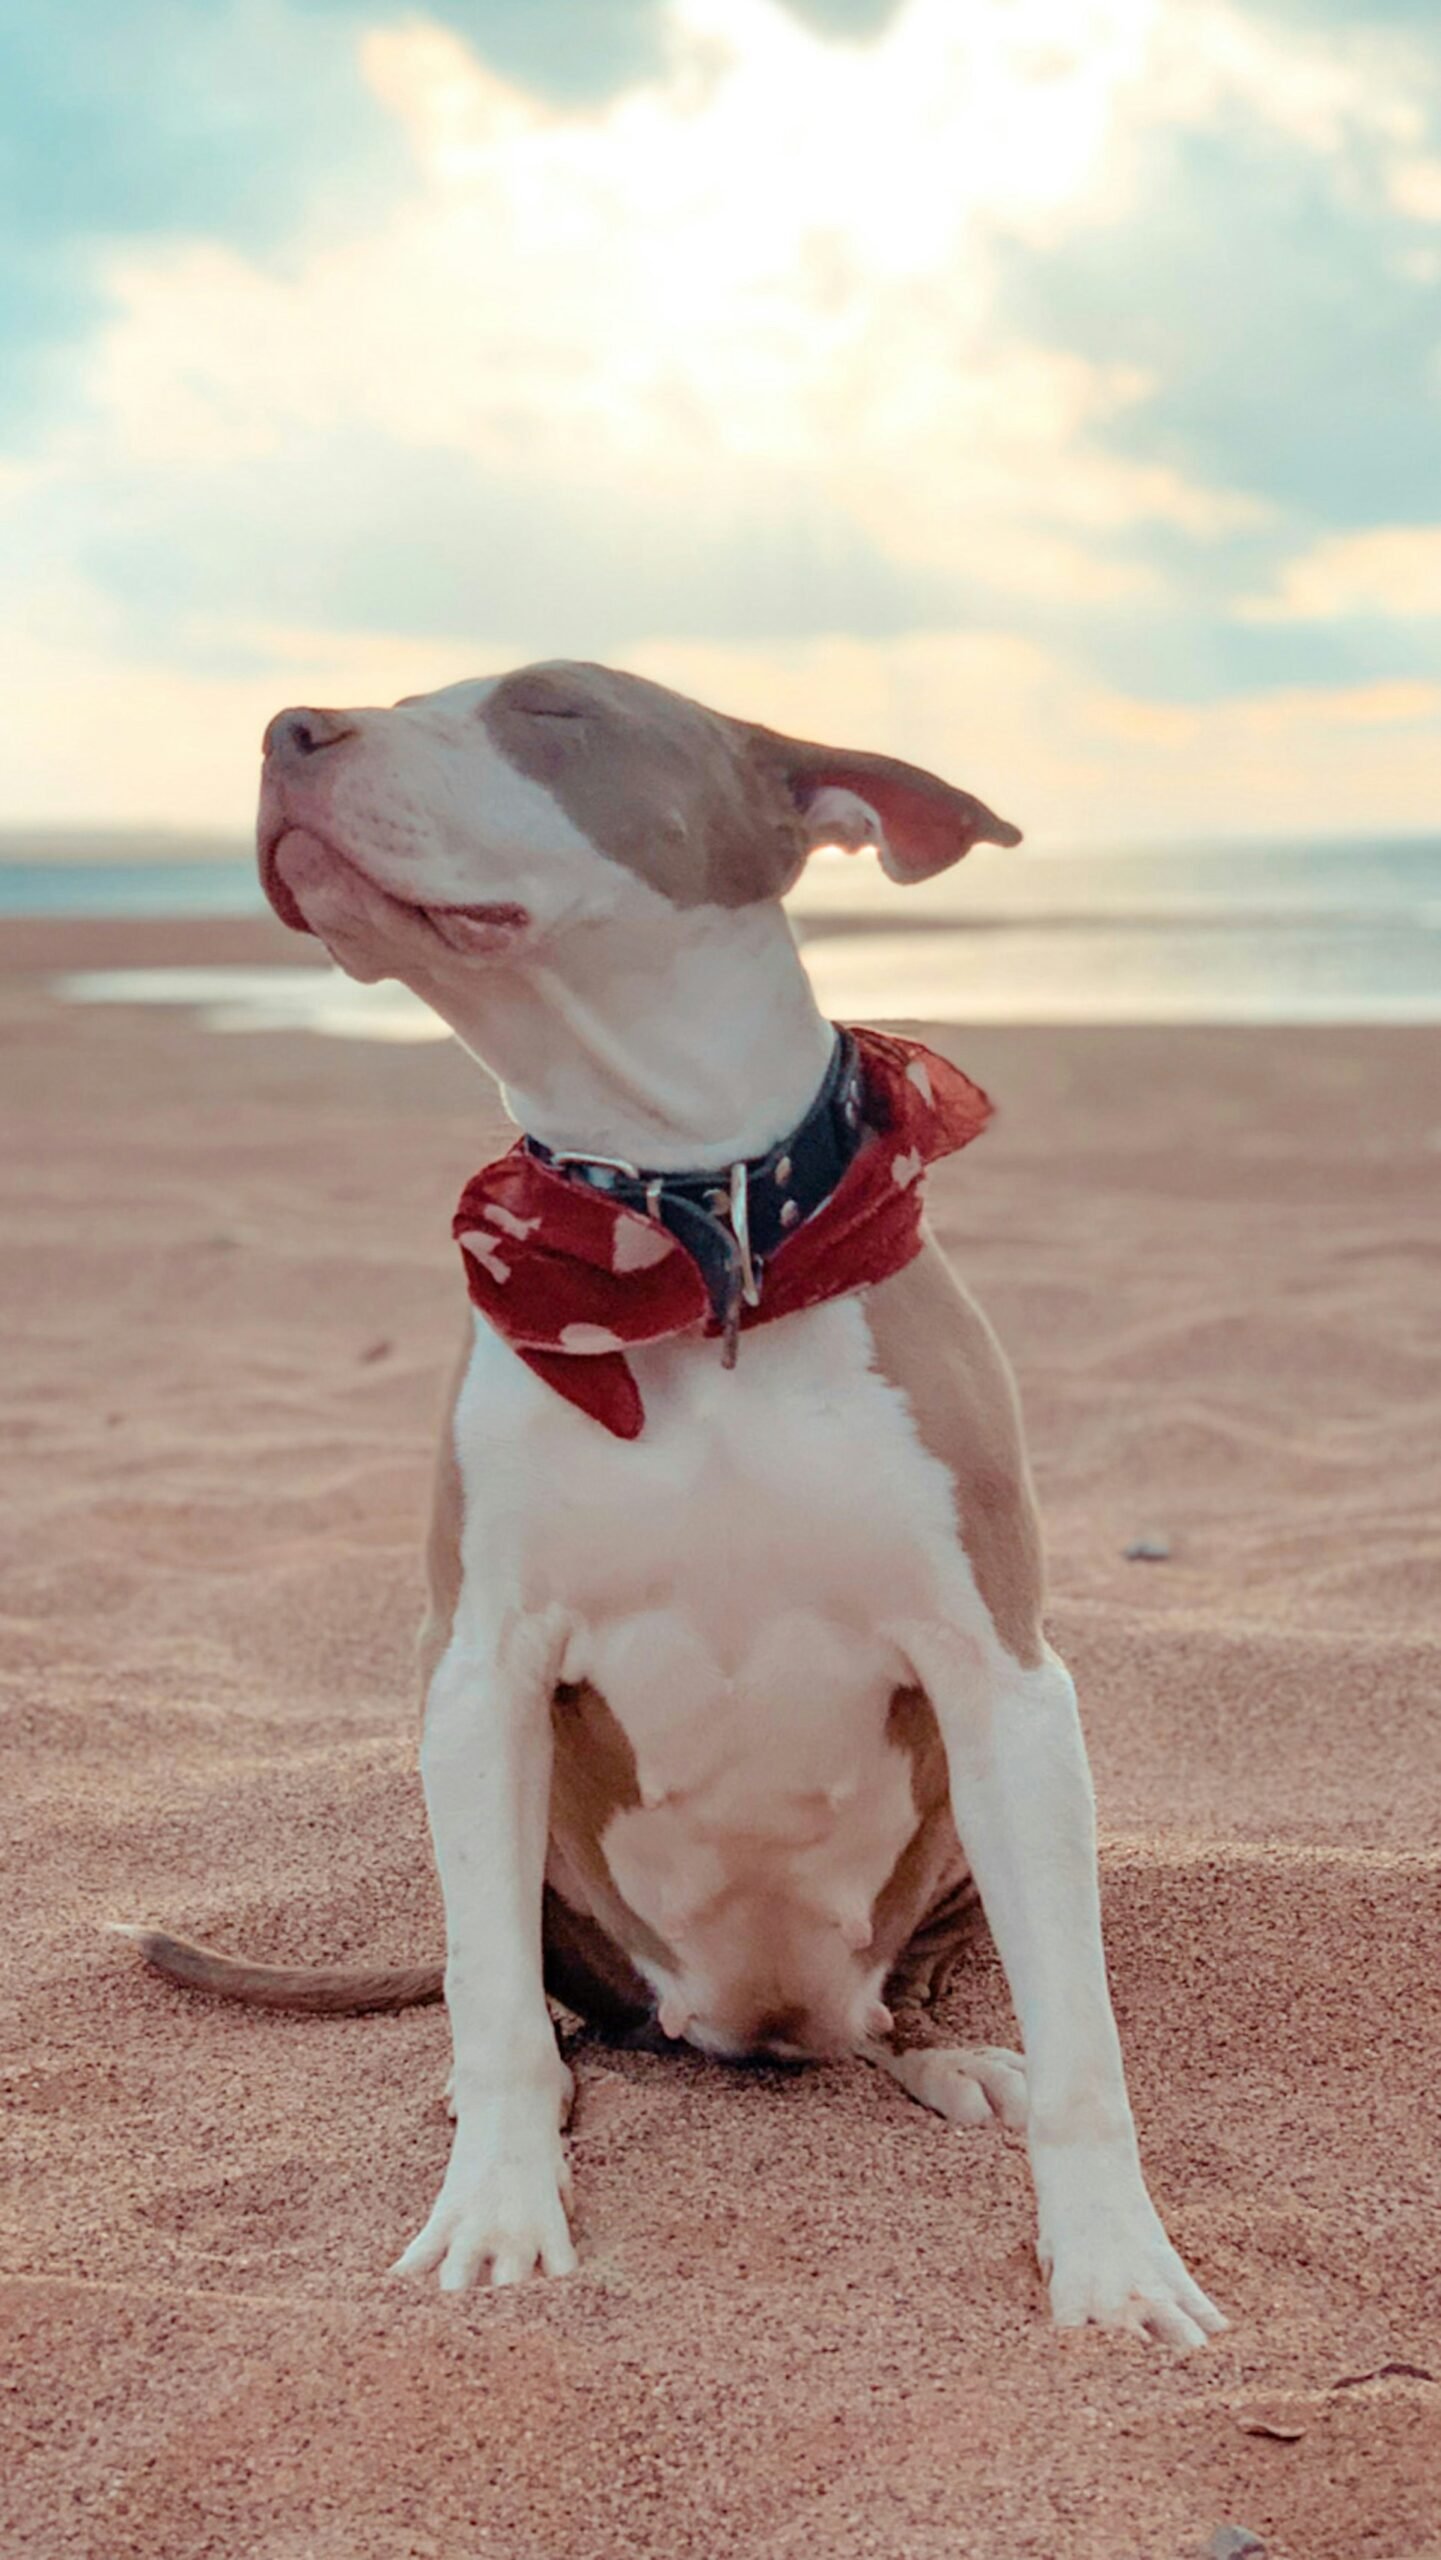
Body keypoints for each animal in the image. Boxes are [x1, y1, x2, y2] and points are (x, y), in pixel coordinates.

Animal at [126, 660, 1228, 2344]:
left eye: (552, 707)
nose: (287, 732)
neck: (688, 1240)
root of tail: (763, 2023)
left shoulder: (1008, 1684)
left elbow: (1087, 2050)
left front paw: (1116, 2266)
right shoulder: (477, 1675)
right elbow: (493, 2012)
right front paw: (495, 2218)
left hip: (965, 1843)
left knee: (911, 2005)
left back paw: (952, 2057)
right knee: (533, 2005)